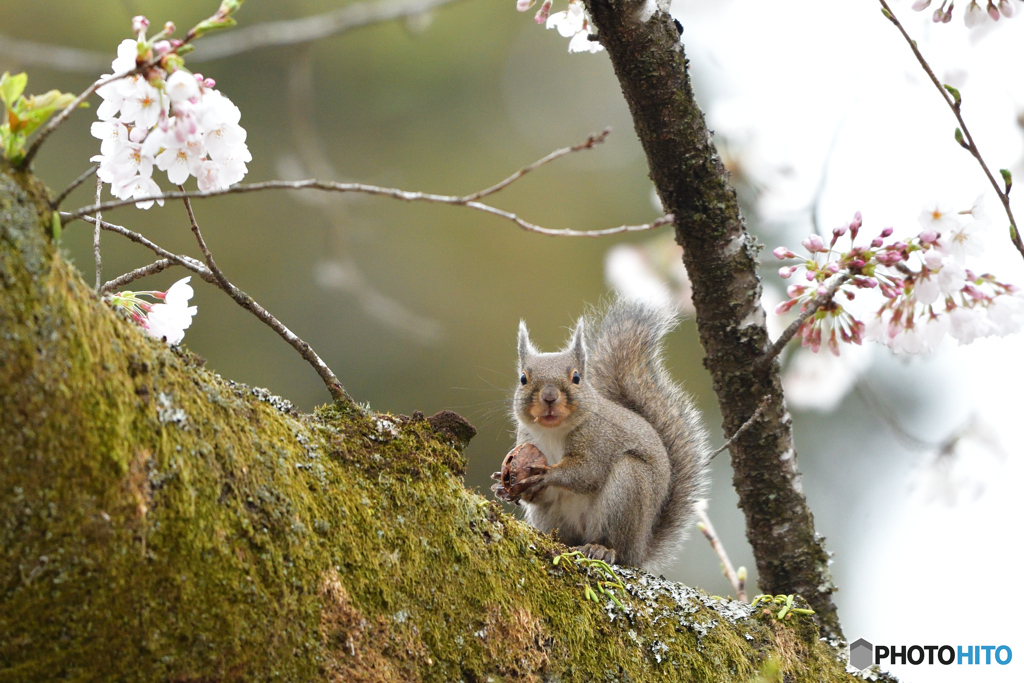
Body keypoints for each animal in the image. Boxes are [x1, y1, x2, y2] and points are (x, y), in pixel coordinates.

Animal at [491, 299, 708, 573]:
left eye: (576, 377)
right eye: (523, 378)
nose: (549, 397)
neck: (553, 432)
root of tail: (641, 549)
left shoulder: (598, 440)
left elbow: (587, 472)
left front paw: (547, 474)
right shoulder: (527, 438)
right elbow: (539, 493)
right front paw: (503, 485)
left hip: (628, 487)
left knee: (614, 544)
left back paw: (602, 549)